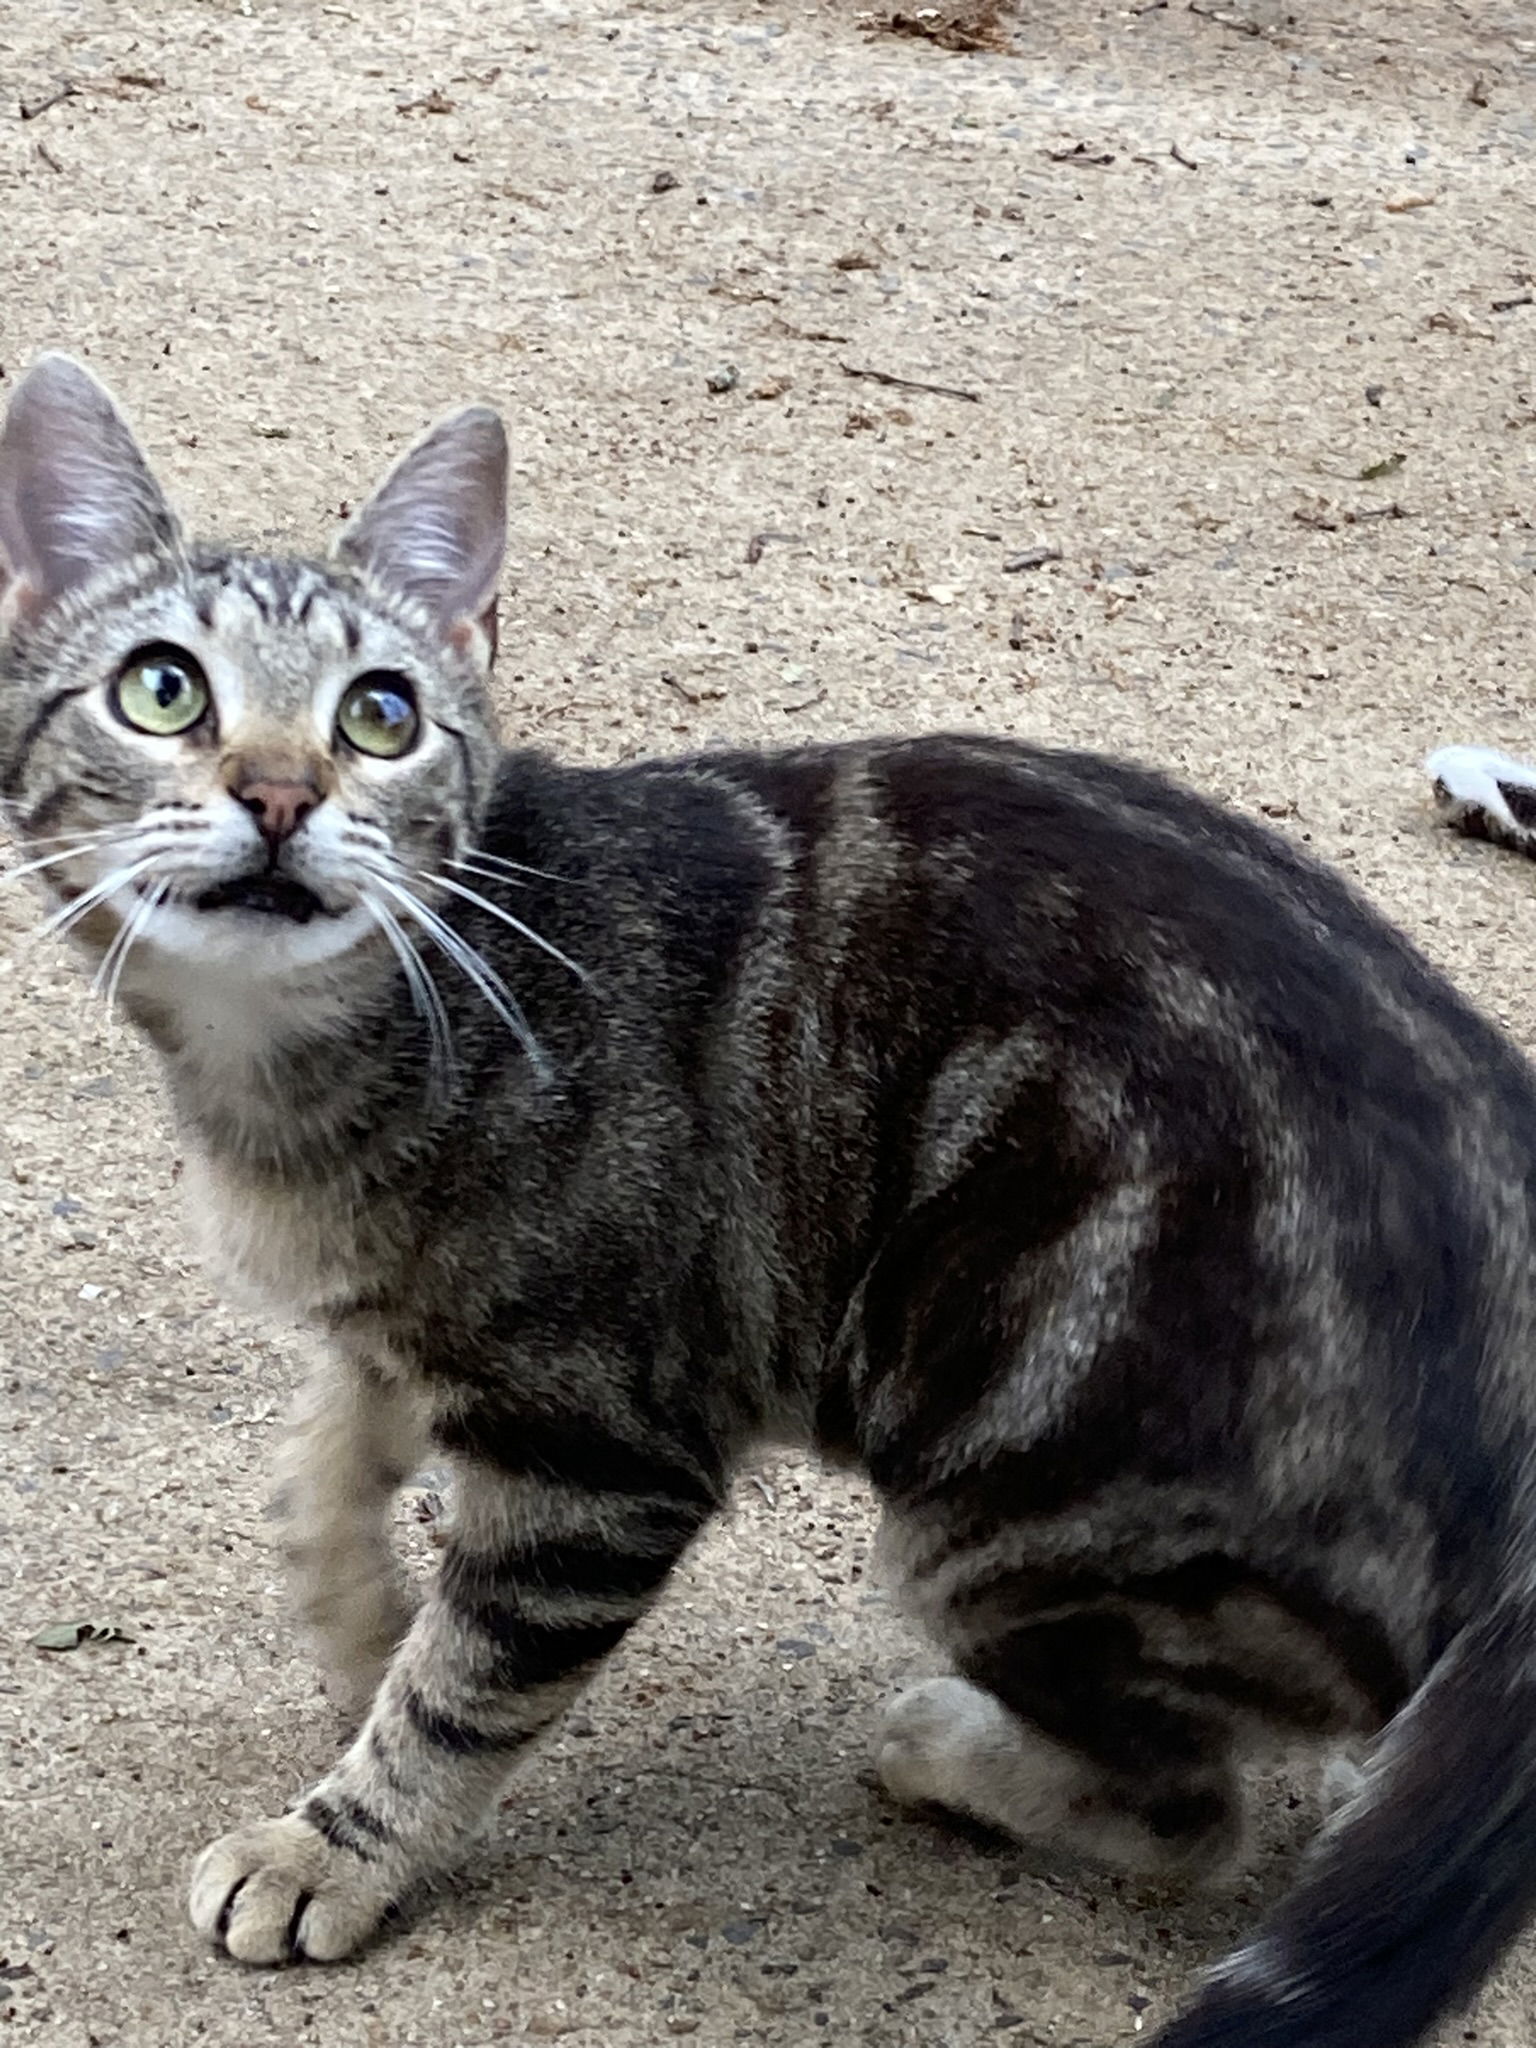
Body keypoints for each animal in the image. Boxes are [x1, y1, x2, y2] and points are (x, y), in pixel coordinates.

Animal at [3, 352, 1536, 2048]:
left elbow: (462, 1692)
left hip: (1004, 1494)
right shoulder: (429, 1330)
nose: (278, 792)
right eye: (164, 689)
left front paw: (334, 1840)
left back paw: (956, 1753)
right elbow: (333, 1452)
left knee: (1197, 1806)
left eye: (381, 716)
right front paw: (352, 1611)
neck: (315, 1065)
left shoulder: (599, 1454)